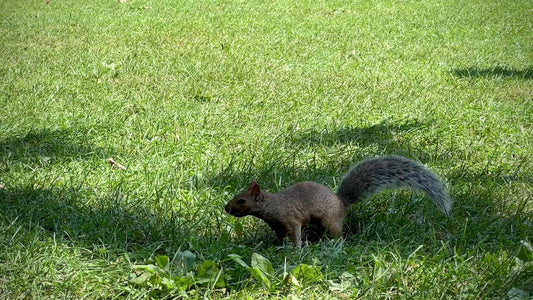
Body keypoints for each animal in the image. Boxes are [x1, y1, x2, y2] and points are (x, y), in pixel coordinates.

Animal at [222, 156, 450, 247]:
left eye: (241, 200)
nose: (226, 208)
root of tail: (341, 202)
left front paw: (295, 249)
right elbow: (281, 236)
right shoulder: (277, 225)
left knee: (338, 234)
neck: (272, 205)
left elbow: (294, 234)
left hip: (329, 221)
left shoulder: (291, 219)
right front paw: (280, 247)